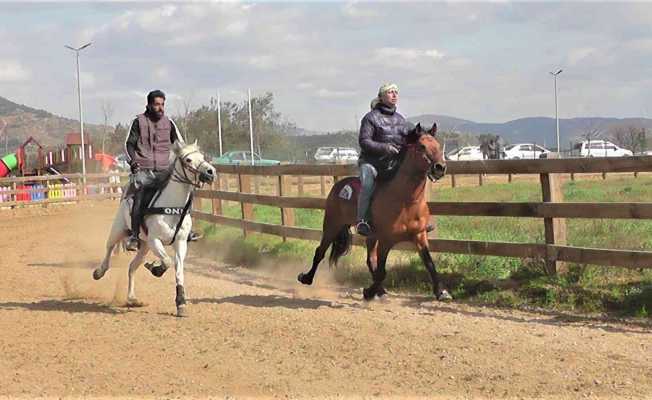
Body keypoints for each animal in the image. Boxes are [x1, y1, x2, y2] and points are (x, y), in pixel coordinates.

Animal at [93, 142, 215, 318]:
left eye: (203, 156)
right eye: (188, 159)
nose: (210, 172)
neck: (171, 207)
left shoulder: (180, 243)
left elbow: (178, 270)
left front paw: (181, 303)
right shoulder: (154, 240)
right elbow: (167, 261)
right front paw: (156, 269)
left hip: (144, 246)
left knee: (132, 267)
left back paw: (132, 299)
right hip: (118, 230)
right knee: (109, 249)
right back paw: (99, 272)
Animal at [296, 123, 454, 302]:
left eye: (438, 146)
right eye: (422, 146)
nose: (440, 168)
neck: (405, 200)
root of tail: (339, 185)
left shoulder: (419, 236)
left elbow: (429, 264)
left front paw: (441, 292)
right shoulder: (386, 240)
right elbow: (381, 271)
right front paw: (368, 292)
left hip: (370, 236)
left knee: (369, 260)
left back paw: (380, 290)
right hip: (332, 225)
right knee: (320, 252)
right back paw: (306, 278)